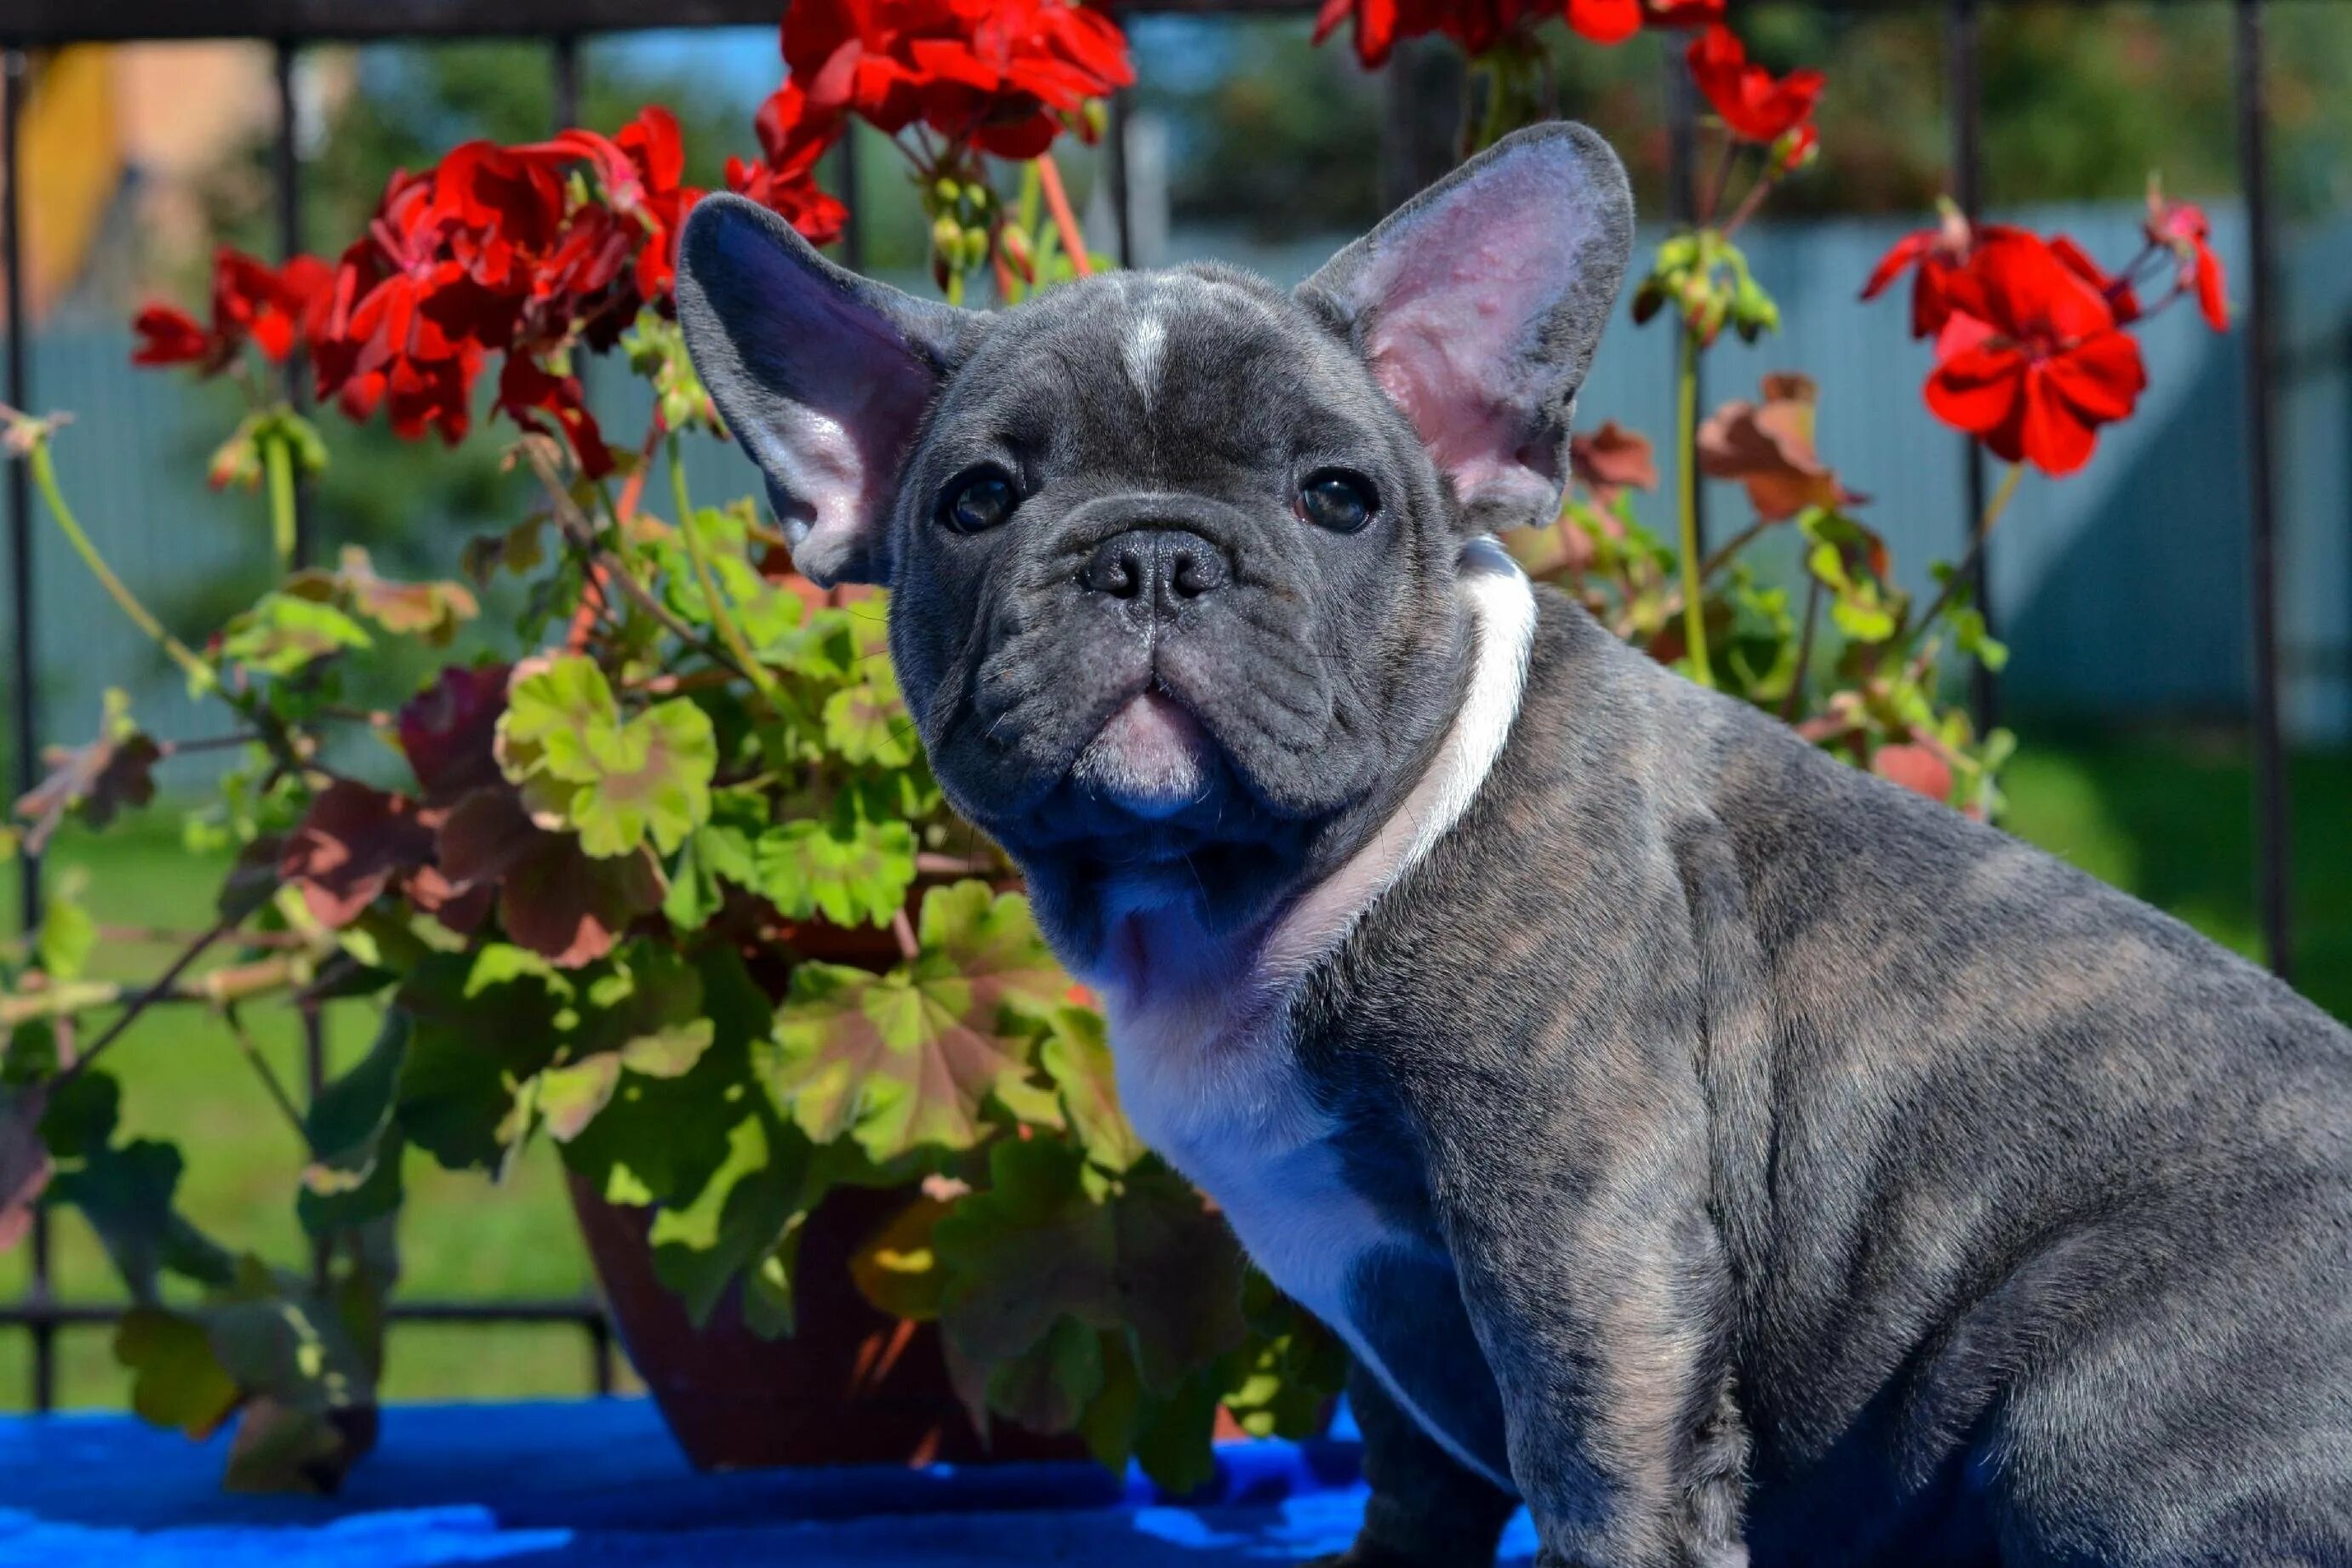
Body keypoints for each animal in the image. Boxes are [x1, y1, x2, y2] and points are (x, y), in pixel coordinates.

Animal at [677, 125, 2352, 1568]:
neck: (1245, 897)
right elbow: (1414, 1472)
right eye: (976, 499)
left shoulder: (1581, 1242)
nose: (1152, 555)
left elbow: (1599, 1465)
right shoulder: (1384, 1314)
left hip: (2094, 1400)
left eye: (1336, 497)